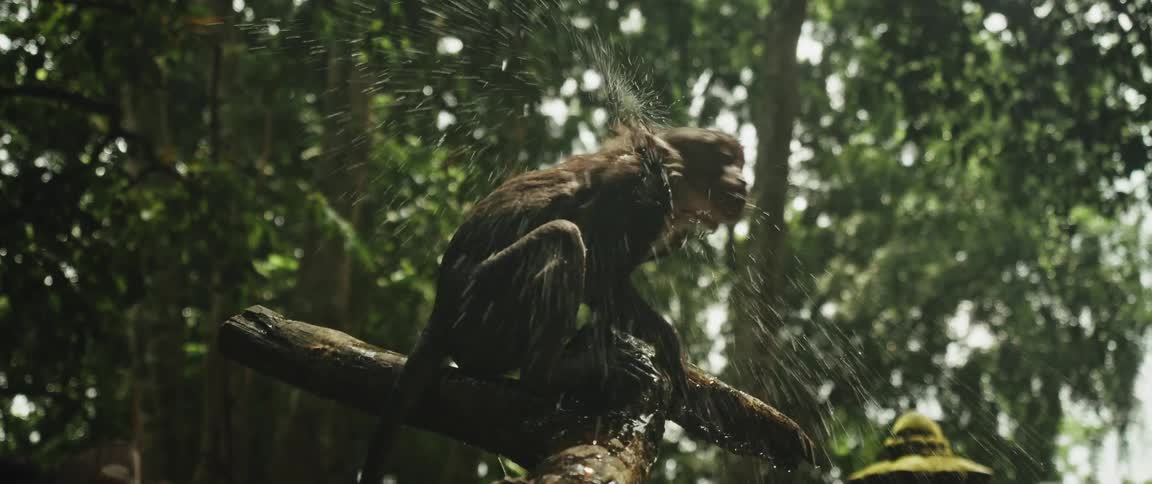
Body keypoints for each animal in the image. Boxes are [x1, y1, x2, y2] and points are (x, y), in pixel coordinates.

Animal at [358, 126, 747, 483]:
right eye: (726, 159)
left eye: (740, 162)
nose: (743, 178)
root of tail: (440, 312)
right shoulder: (641, 191)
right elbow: (600, 272)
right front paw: (664, 344)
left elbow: (608, 283)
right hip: (479, 318)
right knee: (563, 235)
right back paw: (556, 373)